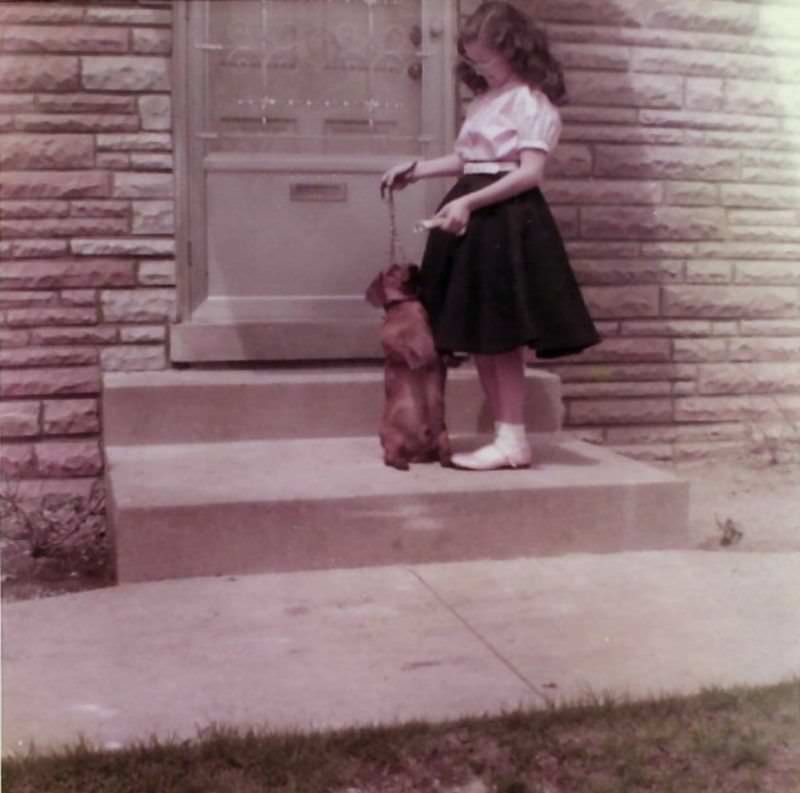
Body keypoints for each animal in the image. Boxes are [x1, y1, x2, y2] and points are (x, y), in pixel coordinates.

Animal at [368, 264, 450, 470]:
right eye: (392, 270)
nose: (414, 266)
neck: (408, 307)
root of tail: (417, 455)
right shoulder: (390, 345)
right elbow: (404, 349)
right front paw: (416, 360)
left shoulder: (434, 345)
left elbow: (438, 353)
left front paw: (449, 358)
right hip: (392, 437)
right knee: (389, 457)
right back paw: (400, 463)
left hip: (444, 435)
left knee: (443, 453)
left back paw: (448, 460)